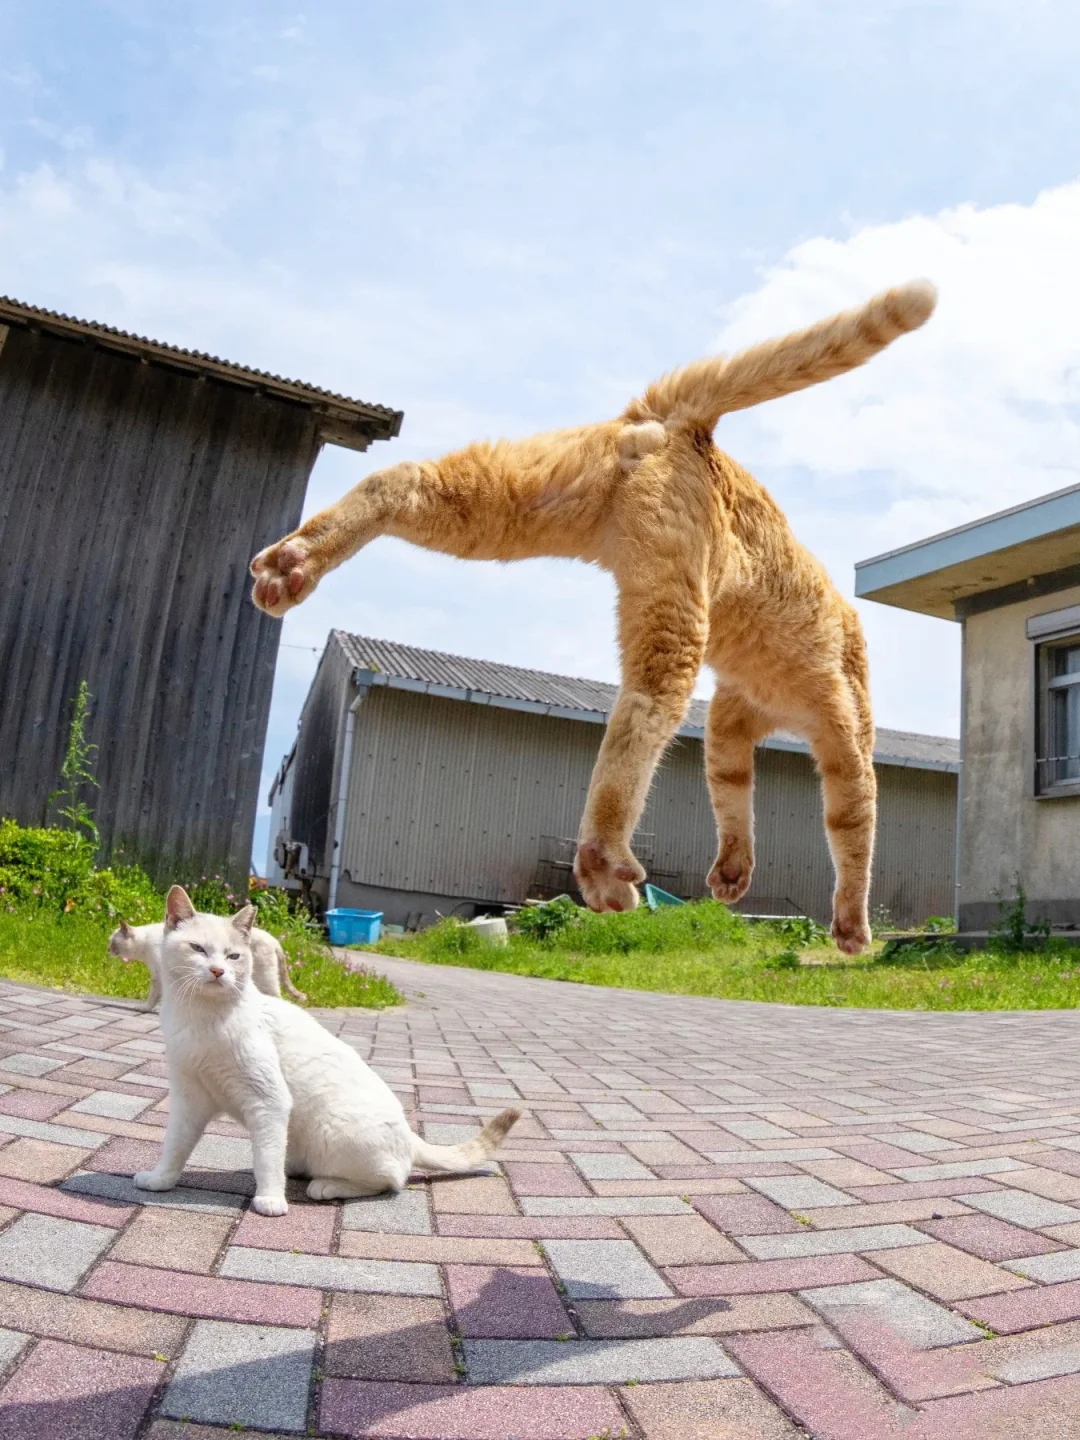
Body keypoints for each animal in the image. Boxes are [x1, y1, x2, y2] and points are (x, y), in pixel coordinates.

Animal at [109, 915, 306, 1008]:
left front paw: (143, 1008)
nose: (107, 950)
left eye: (112, 942)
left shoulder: (159, 976)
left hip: (265, 980)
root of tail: (275, 940)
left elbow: (152, 998)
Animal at [133, 887, 521, 1215]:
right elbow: (176, 1146)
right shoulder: (190, 1099)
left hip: (333, 1132)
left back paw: (326, 1185)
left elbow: (266, 1160)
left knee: (390, 1180)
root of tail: (411, 1136)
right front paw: (161, 1179)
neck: (201, 1019)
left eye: (233, 955)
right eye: (198, 949)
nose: (218, 971)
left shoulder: (268, 1102)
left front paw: (271, 1199)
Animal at [253, 280, 938, 956]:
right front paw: (852, 928)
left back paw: (292, 563)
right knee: (638, 722)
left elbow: (732, 796)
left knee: (401, 478)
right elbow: (852, 825)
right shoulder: (841, 732)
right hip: (677, 618)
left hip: (515, 503)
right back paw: (604, 862)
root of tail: (691, 427)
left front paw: (733, 874)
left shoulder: (730, 725)